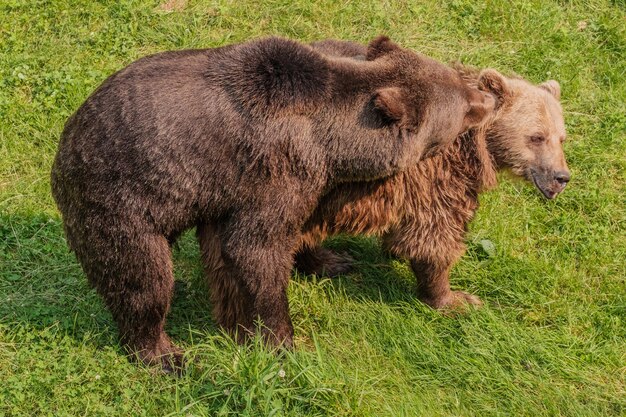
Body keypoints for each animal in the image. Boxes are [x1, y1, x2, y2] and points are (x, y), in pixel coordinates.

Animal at [51, 34, 492, 368]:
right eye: (463, 107)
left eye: (459, 82)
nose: (488, 99)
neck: (332, 140)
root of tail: (65, 142)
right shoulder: (278, 172)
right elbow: (255, 249)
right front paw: (283, 342)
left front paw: (332, 259)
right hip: (121, 200)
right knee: (144, 279)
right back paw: (163, 354)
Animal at [290, 40, 568, 308]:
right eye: (537, 137)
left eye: (561, 138)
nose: (562, 177)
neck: (473, 147)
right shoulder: (435, 178)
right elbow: (434, 237)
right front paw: (455, 298)